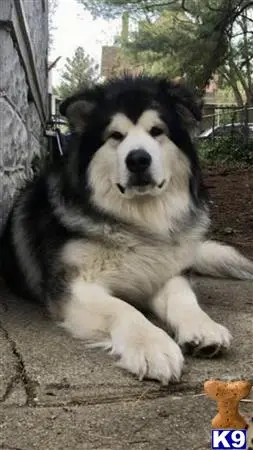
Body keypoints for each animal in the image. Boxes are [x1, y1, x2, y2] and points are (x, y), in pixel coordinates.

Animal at [0, 75, 252, 384]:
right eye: (115, 136)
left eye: (157, 131)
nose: (138, 159)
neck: (137, 222)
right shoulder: (73, 286)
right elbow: (123, 308)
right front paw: (152, 345)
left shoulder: (165, 272)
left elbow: (184, 297)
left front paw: (203, 326)